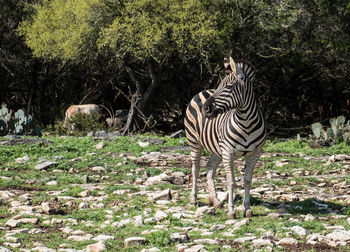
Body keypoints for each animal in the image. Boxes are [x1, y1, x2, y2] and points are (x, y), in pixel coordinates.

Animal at [183, 56, 266, 218]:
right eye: (220, 86)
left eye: (229, 86)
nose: (205, 109)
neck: (246, 123)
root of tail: (204, 90)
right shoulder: (228, 152)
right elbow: (231, 181)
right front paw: (231, 211)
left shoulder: (255, 153)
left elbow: (247, 180)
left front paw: (247, 209)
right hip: (194, 142)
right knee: (195, 169)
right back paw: (193, 200)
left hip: (216, 148)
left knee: (209, 169)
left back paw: (215, 201)